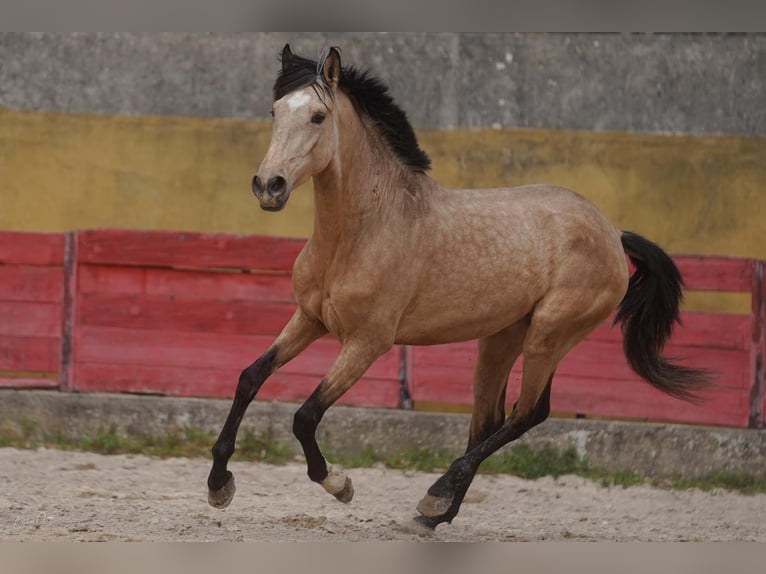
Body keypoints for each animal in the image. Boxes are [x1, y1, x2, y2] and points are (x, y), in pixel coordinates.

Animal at [206, 45, 712, 532]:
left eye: (317, 116)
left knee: (527, 414)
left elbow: (306, 415)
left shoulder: (367, 343)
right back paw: (432, 516)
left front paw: (339, 484)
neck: (363, 230)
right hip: (501, 338)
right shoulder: (310, 319)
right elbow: (250, 377)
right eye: (274, 111)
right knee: (489, 421)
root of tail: (611, 231)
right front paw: (218, 486)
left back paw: (434, 496)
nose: (268, 186)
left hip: (550, 334)